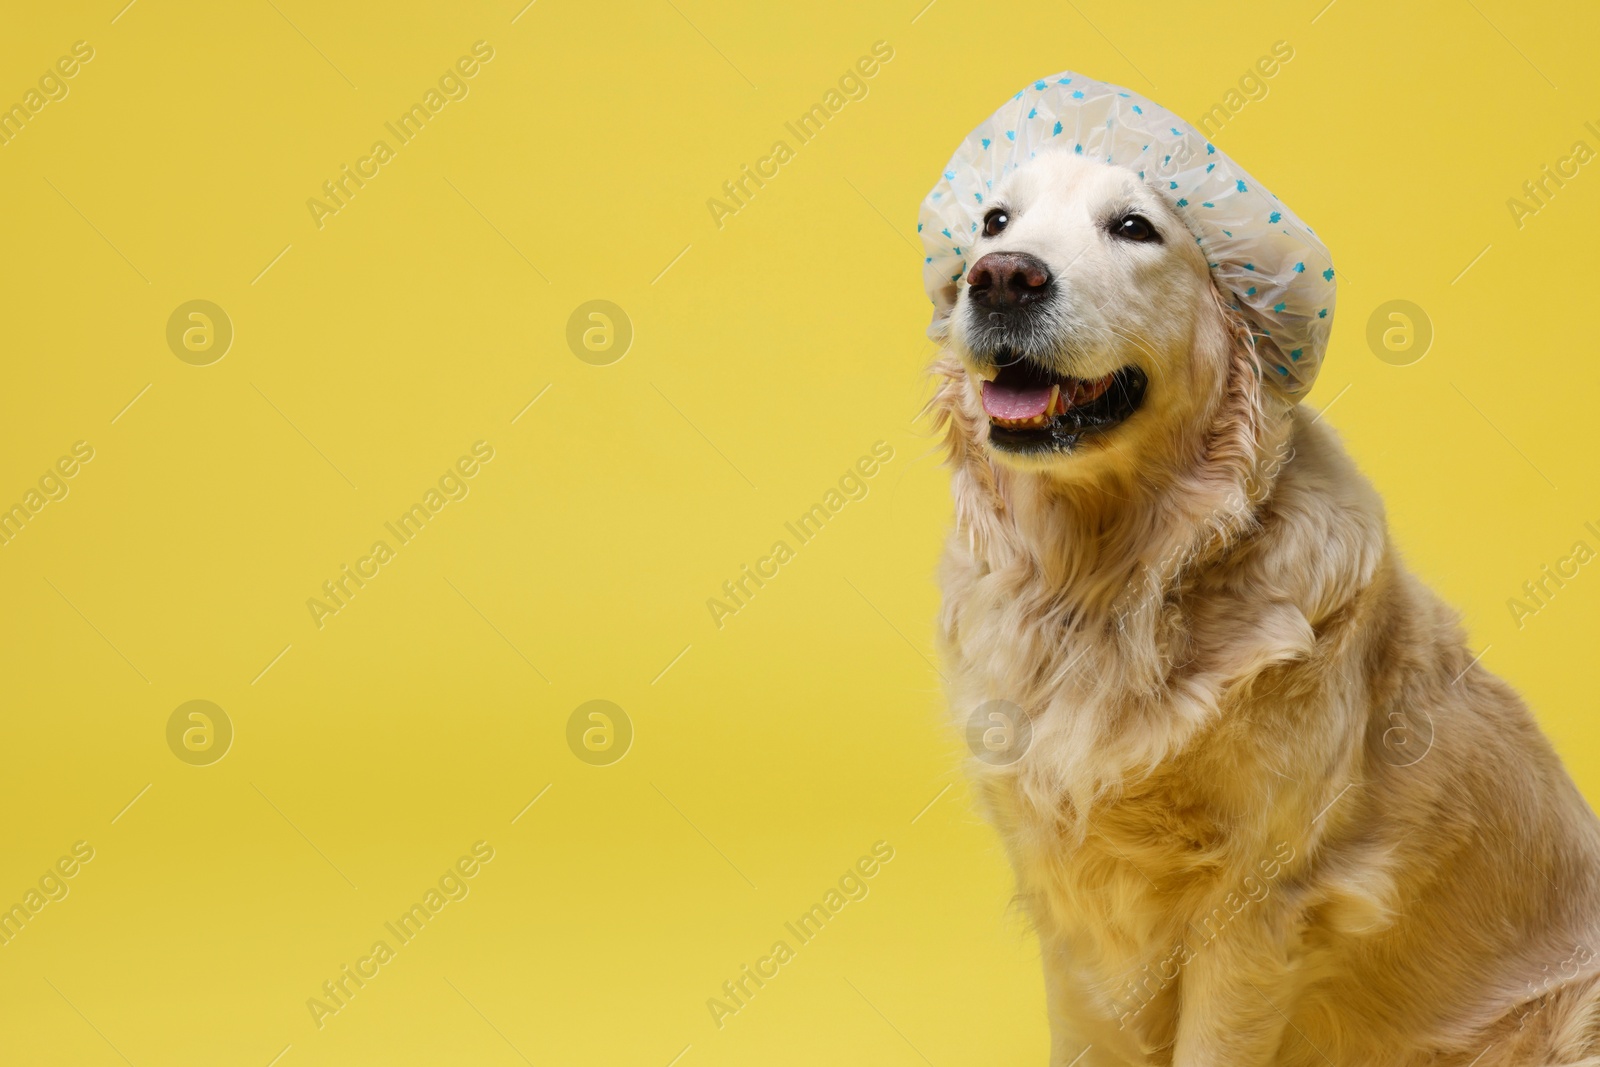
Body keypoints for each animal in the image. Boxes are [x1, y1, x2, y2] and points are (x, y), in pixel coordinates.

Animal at [934, 151, 1600, 1067]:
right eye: (995, 221)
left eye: (1134, 227)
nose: (1001, 277)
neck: (1106, 582)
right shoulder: (1070, 906)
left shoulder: (1255, 905)